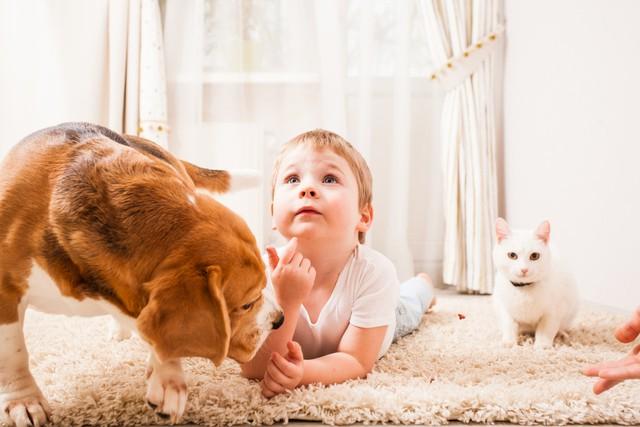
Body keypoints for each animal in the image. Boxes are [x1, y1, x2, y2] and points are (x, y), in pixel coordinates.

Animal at [0, 122, 284, 426]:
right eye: (246, 304)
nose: (279, 319)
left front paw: (169, 379)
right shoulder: (4, 291)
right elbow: (13, 351)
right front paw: (23, 401)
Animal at [492, 219, 576, 350]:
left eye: (534, 256)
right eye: (512, 255)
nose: (524, 269)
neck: (524, 289)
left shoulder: (553, 311)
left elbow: (546, 329)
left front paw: (542, 345)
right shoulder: (503, 306)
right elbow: (508, 325)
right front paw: (509, 342)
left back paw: (562, 334)